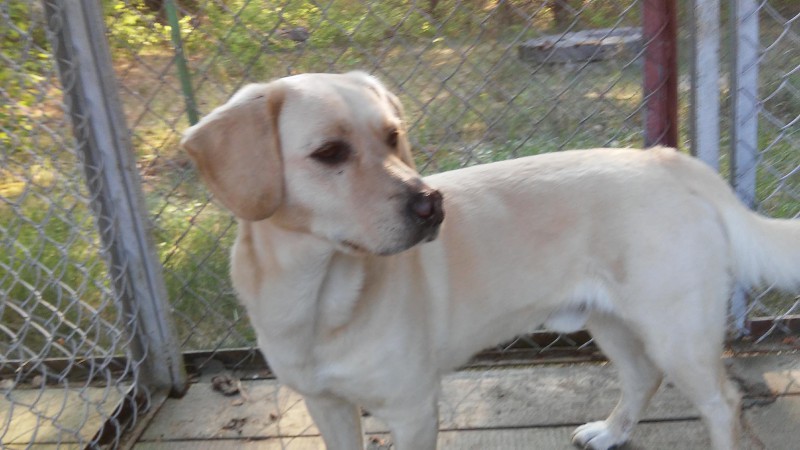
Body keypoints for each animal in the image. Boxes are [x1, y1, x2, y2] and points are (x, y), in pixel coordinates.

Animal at [182, 71, 800, 450]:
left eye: (392, 136)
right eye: (329, 152)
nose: (432, 204)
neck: (317, 297)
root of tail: (667, 159)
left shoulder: (412, 409)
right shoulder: (325, 406)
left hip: (677, 332)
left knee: (723, 402)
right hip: (611, 321)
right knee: (643, 377)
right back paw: (611, 432)